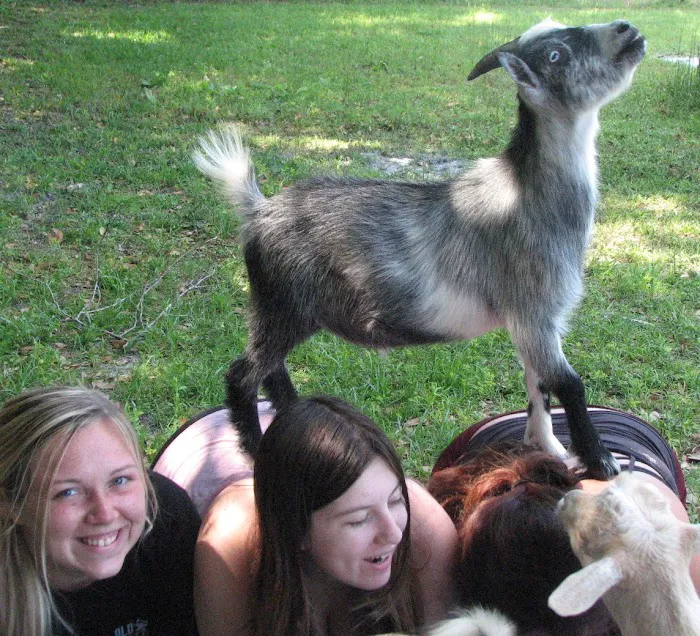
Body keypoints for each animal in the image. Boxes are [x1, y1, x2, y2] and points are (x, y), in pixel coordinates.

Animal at [194, 19, 646, 479]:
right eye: (555, 55)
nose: (626, 29)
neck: (527, 193)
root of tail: (258, 209)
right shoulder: (533, 310)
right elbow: (568, 383)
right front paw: (601, 461)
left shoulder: (532, 323)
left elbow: (537, 385)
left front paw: (548, 447)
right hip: (281, 307)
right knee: (242, 375)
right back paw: (254, 450)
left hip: (285, 312)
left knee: (272, 371)